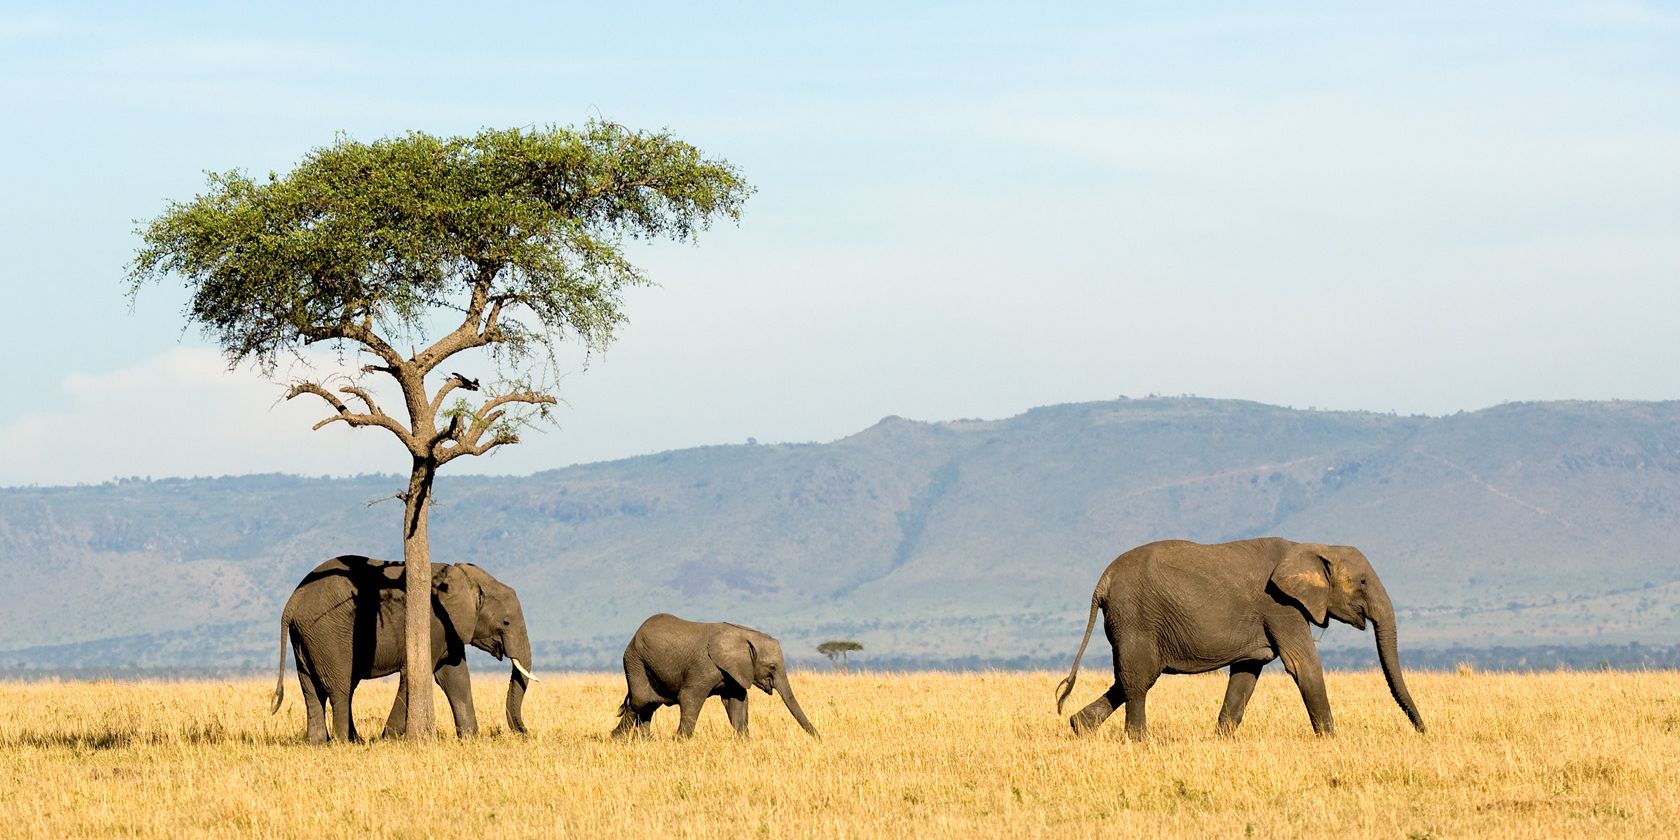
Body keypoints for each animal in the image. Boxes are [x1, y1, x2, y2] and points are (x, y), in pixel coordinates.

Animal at [270, 554, 537, 743]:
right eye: (506, 622)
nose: (524, 732)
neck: (462, 575)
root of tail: (292, 603)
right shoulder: (434, 623)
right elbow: (415, 674)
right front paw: (388, 739)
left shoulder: (450, 630)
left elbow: (455, 677)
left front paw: (470, 739)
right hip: (327, 634)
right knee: (341, 688)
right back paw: (345, 742)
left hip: (307, 638)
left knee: (312, 688)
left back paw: (321, 742)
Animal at [611, 613, 820, 739]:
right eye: (772, 667)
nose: (819, 739)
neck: (743, 634)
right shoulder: (702, 667)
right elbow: (689, 698)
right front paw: (679, 741)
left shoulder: (734, 673)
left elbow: (737, 703)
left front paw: (743, 741)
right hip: (635, 661)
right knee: (640, 701)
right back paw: (617, 738)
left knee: (649, 705)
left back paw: (645, 740)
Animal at [1054, 537, 1426, 739]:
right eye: (1362, 582)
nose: (1423, 732)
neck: (1310, 547)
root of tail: (1102, 581)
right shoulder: (1280, 605)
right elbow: (1302, 665)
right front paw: (1332, 741)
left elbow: (1247, 673)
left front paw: (1220, 740)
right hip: (1136, 617)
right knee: (1138, 680)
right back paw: (1138, 742)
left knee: (1130, 678)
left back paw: (1078, 727)